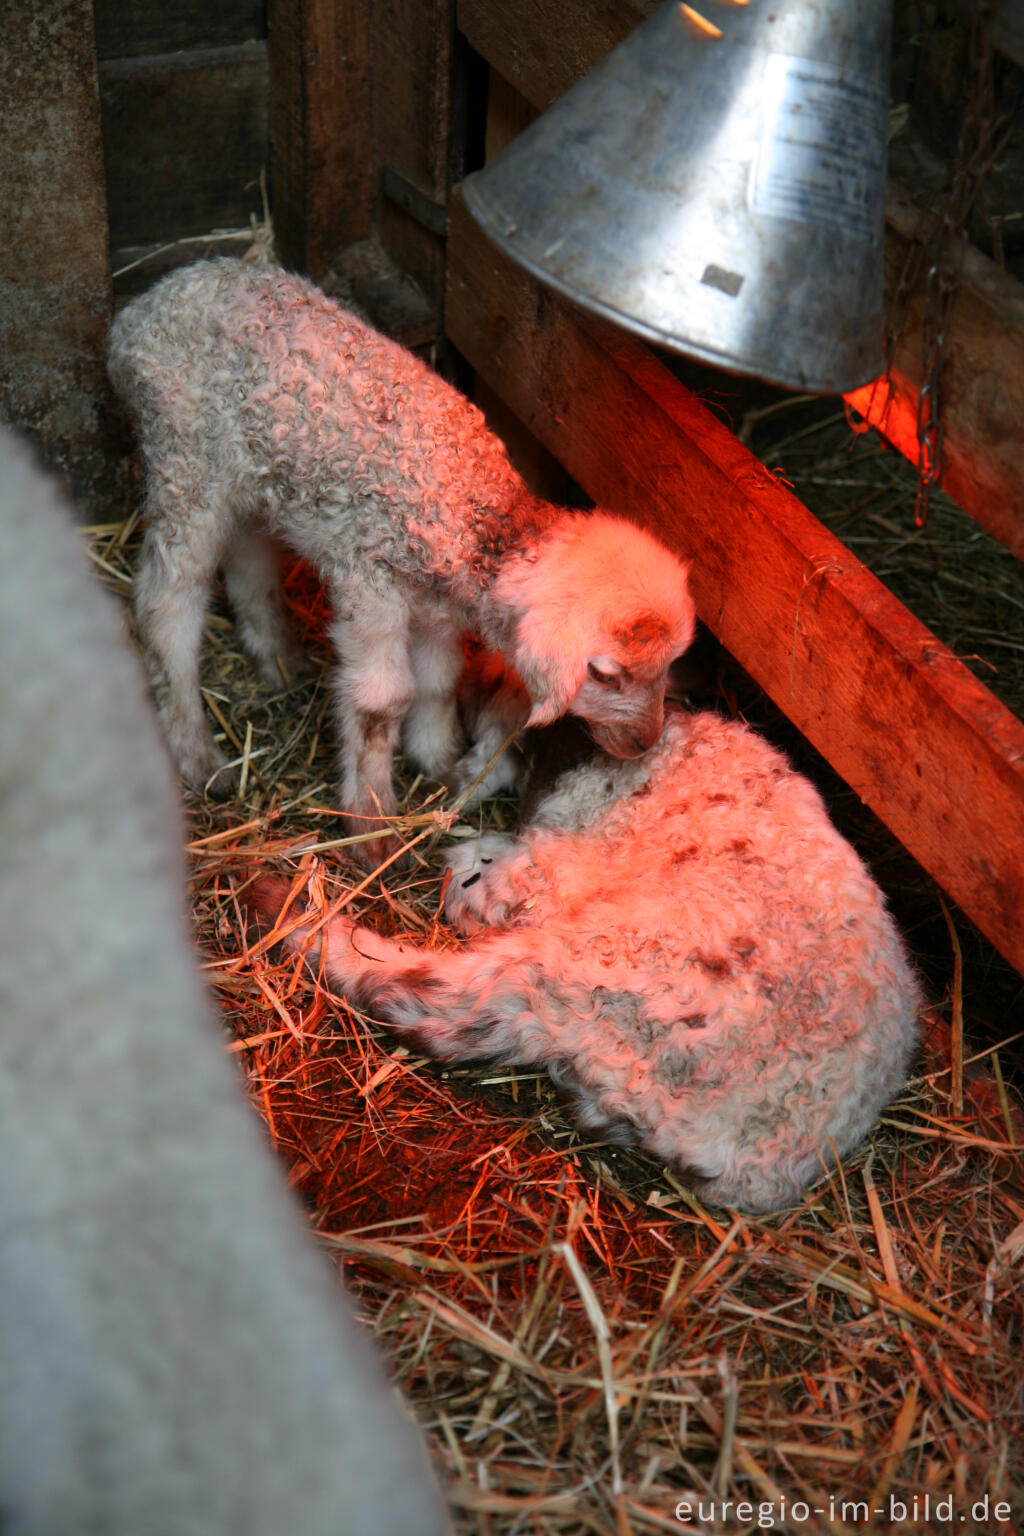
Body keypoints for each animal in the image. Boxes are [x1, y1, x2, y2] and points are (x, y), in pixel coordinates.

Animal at [108, 251, 693, 854]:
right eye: (603, 674)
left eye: (670, 665)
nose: (645, 743)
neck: (480, 520)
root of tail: (153, 297)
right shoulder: (371, 588)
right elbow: (381, 701)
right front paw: (371, 825)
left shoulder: (437, 609)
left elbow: (437, 682)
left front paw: (438, 758)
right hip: (184, 466)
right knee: (165, 605)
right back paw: (198, 754)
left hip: (252, 481)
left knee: (249, 562)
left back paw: (279, 660)